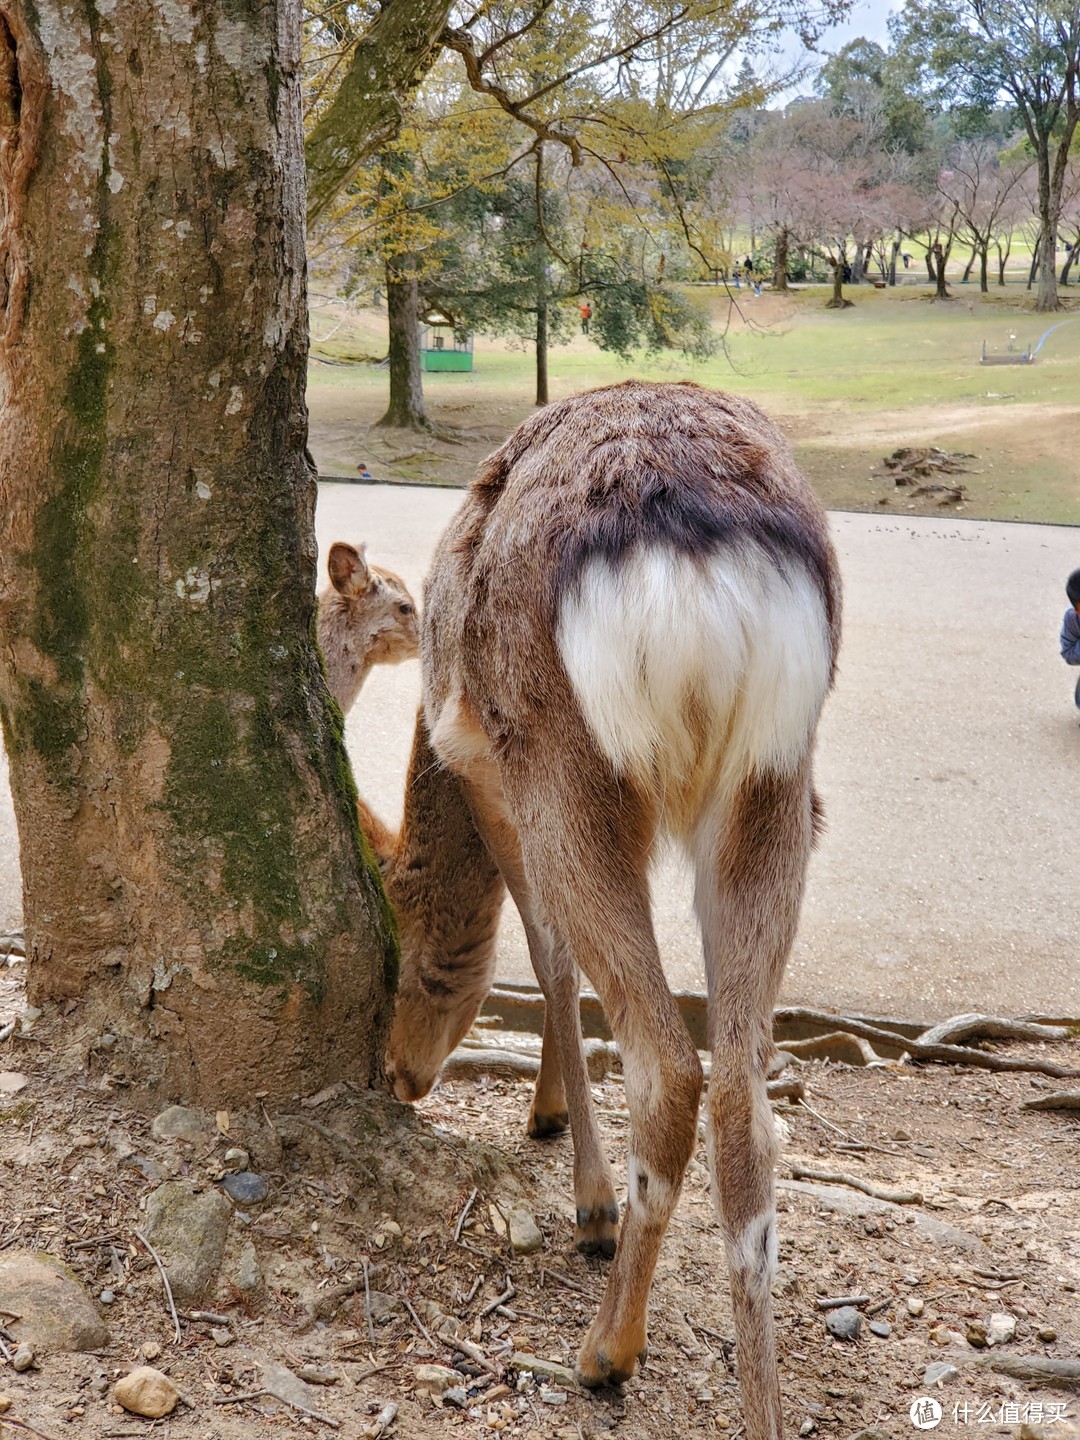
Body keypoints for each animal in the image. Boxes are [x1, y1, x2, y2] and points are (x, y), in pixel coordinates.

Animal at [380, 383, 846, 1440]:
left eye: (413, 964)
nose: (398, 1077)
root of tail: (699, 556)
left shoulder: (487, 776)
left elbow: (545, 961)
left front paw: (576, 1175)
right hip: (776, 781)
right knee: (745, 1097)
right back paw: (757, 1407)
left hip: (567, 770)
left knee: (668, 1064)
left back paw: (606, 1348)